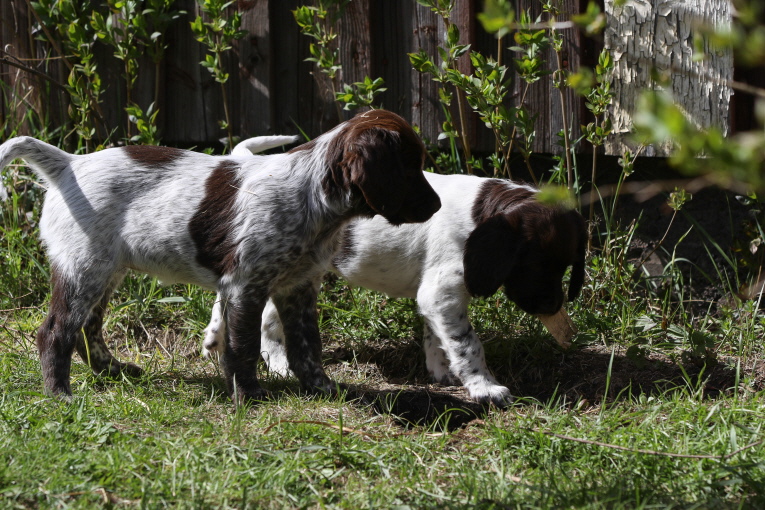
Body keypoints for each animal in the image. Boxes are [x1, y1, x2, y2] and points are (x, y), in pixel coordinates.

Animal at [1, 108, 442, 402]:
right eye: (408, 168)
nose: (437, 206)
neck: (313, 196)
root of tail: (68, 164)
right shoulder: (246, 285)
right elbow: (243, 347)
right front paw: (248, 395)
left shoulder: (297, 287)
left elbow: (307, 347)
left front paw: (322, 388)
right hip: (84, 269)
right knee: (56, 331)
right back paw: (60, 394)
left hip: (105, 271)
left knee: (87, 329)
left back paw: (114, 371)